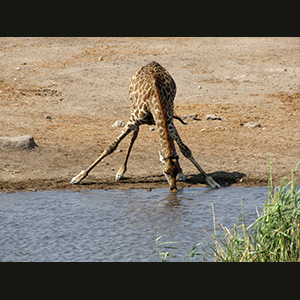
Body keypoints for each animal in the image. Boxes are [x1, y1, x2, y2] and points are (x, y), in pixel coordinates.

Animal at [71, 61, 220, 191]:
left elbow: (185, 150)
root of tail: (152, 62)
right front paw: (78, 177)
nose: (173, 189)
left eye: (174, 171)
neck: (155, 101)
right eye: (165, 172)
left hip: (170, 106)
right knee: (134, 134)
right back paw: (120, 172)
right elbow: (111, 147)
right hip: (132, 104)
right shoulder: (134, 119)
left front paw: (210, 181)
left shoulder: (168, 121)